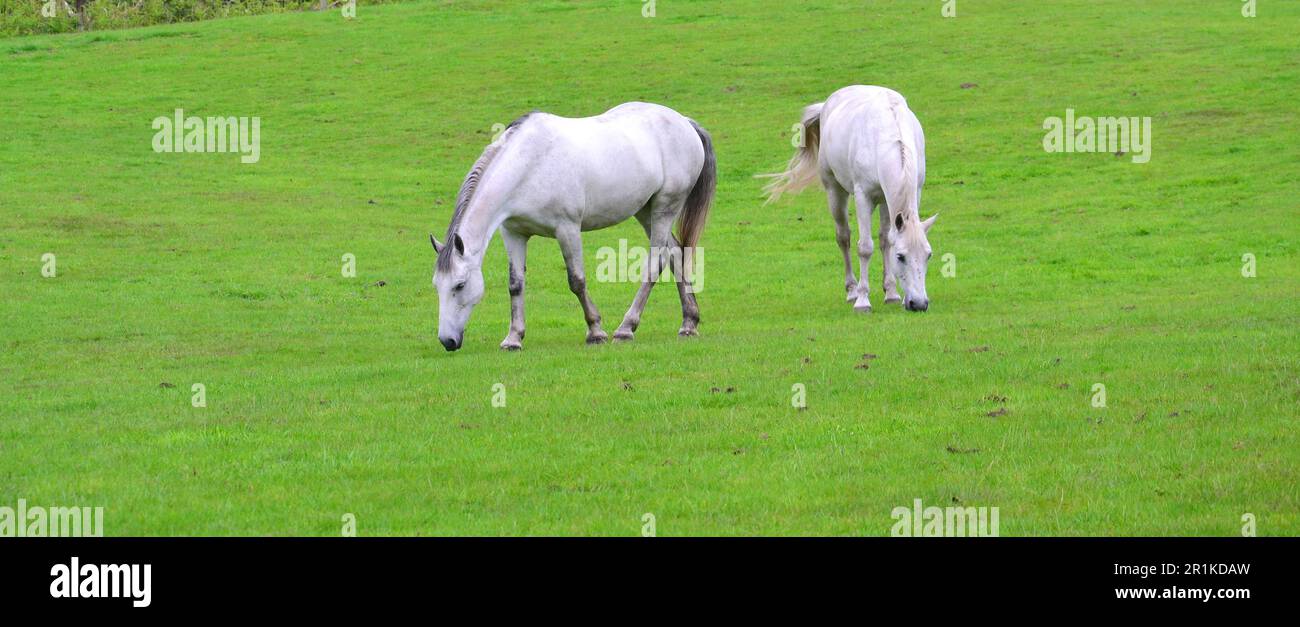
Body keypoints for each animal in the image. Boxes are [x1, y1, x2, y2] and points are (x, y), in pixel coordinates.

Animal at [430, 102, 716, 351]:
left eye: (459, 285)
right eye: (437, 285)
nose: (447, 341)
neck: (530, 165)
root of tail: (685, 123)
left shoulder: (567, 229)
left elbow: (576, 281)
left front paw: (595, 331)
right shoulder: (514, 233)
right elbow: (515, 284)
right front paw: (513, 338)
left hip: (665, 208)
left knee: (655, 264)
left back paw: (626, 328)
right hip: (646, 211)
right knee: (675, 254)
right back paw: (689, 323)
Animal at [761, 85, 938, 313]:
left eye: (928, 255)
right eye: (901, 256)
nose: (919, 304)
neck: (888, 137)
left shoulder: (902, 195)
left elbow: (887, 241)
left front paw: (891, 293)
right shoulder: (863, 196)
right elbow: (865, 247)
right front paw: (863, 300)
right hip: (835, 192)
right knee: (843, 237)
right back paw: (852, 290)